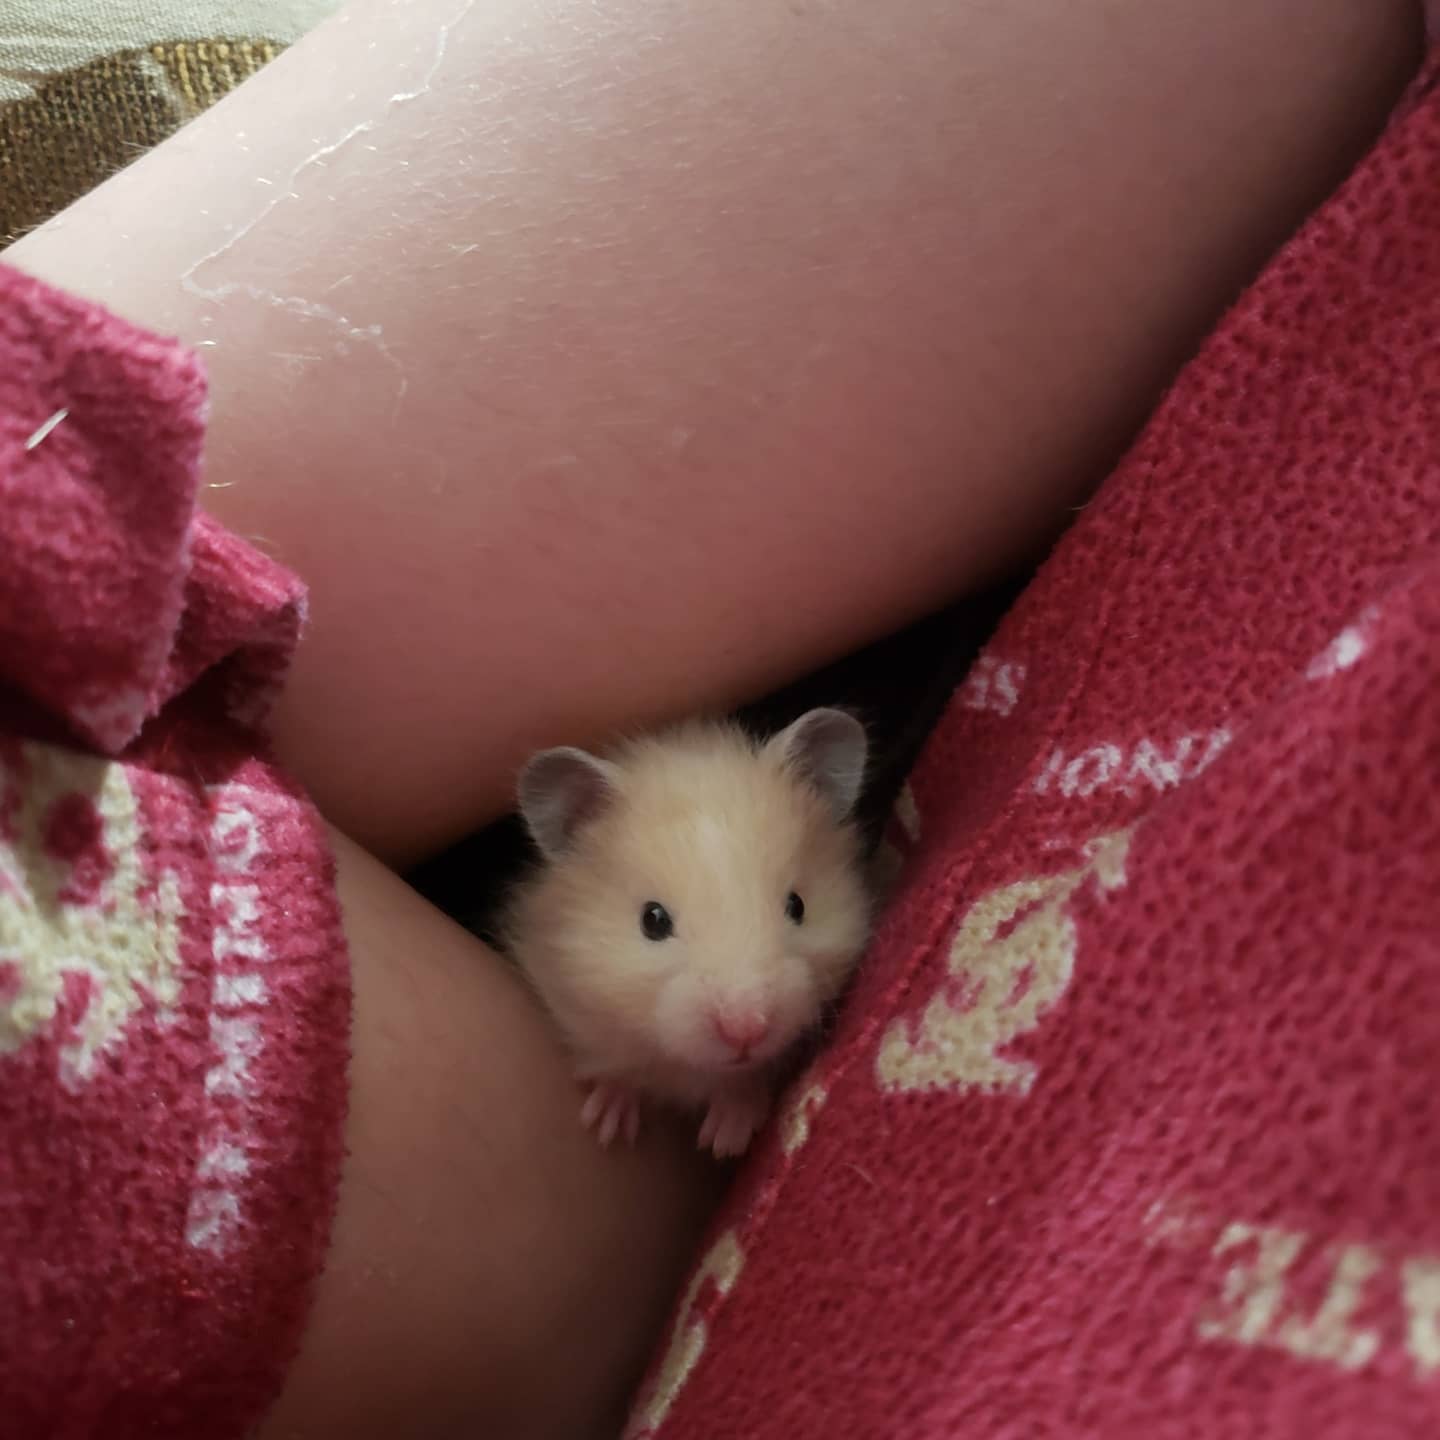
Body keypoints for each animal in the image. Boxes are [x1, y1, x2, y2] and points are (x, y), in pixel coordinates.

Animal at [504, 707, 872, 1159]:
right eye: (653, 920)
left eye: (797, 905)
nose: (746, 1030)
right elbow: (616, 1066)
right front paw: (607, 1126)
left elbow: (749, 1080)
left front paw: (723, 1140)